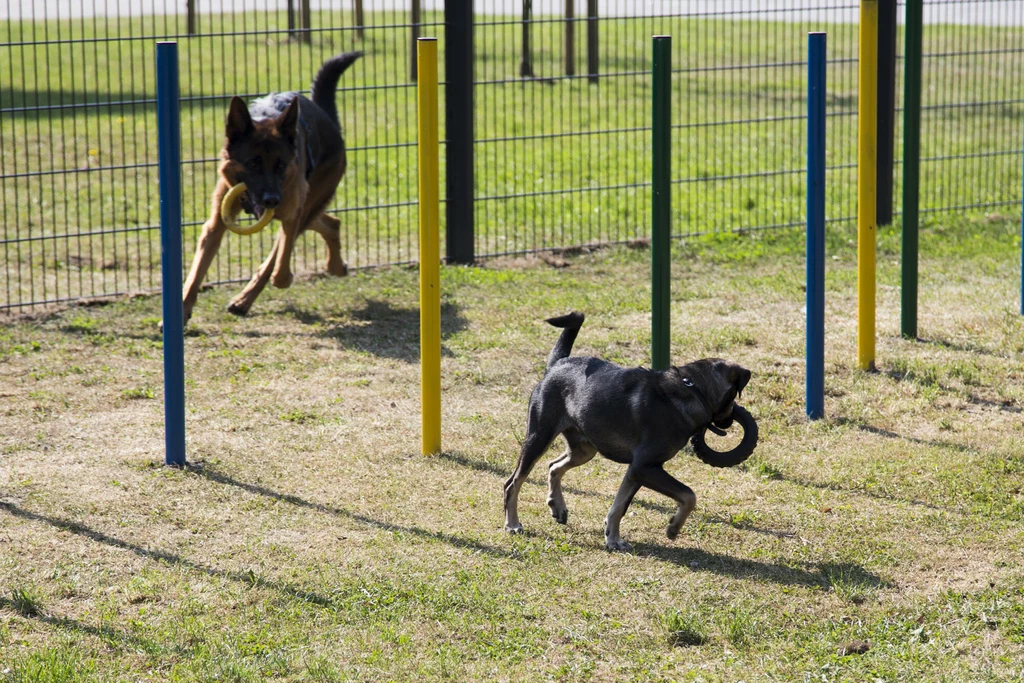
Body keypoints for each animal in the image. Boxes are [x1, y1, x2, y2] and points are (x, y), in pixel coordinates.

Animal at [178, 52, 362, 325]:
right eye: (253, 163)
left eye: (281, 165)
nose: (272, 200)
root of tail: (330, 123)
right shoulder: (215, 226)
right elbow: (195, 273)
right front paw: (180, 311)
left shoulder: (291, 213)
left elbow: (279, 268)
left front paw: (281, 278)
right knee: (330, 222)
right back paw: (336, 266)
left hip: (307, 202)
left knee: (295, 240)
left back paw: (244, 299)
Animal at [503, 313, 753, 552]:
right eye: (733, 397)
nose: (729, 422)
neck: (693, 389)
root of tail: (557, 364)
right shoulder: (645, 467)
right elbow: (688, 495)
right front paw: (673, 527)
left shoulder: (636, 471)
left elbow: (619, 506)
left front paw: (613, 540)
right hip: (539, 437)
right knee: (513, 482)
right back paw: (513, 524)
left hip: (584, 449)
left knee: (554, 466)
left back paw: (557, 507)